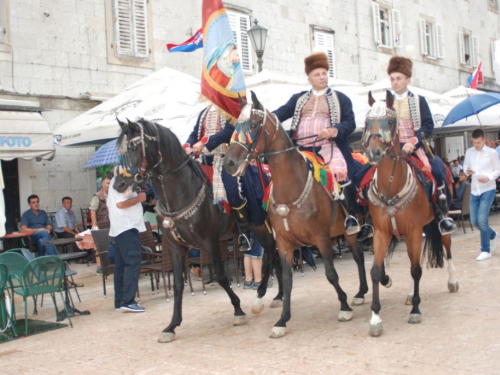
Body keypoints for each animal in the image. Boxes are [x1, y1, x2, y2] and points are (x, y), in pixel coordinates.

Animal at [113, 117, 284, 344]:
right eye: (118, 148)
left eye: (133, 146)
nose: (119, 184)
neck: (181, 189)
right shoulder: (176, 247)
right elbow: (178, 284)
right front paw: (171, 326)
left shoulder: (210, 242)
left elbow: (221, 276)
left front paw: (238, 310)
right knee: (276, 256)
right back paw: (279, 296)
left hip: (261, 226)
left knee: (272, 255)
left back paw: (261, 296)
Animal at [223, 92, 368, 340]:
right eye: (235, 127)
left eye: (254, 125)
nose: (229, 163)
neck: (291, 186)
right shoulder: (283, 242)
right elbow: (287, 279)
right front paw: (282, 320)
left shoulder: (321, 238)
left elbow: (331, 274)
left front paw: (344, 306)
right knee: (358, 254)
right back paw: (361, 292)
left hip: (351, 228)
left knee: (360, 255)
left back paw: (363, 291)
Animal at [362, 90, 458, 338]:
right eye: (366, 122)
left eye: (390, 122)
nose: (373, 153)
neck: (390, 187)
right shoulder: (382, 233)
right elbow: (376, 271)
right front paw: (375, 318)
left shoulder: (415, 231)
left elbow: (416, 270)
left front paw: (415, 310)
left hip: (439, 220)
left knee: (447, 247)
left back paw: (453, 280)